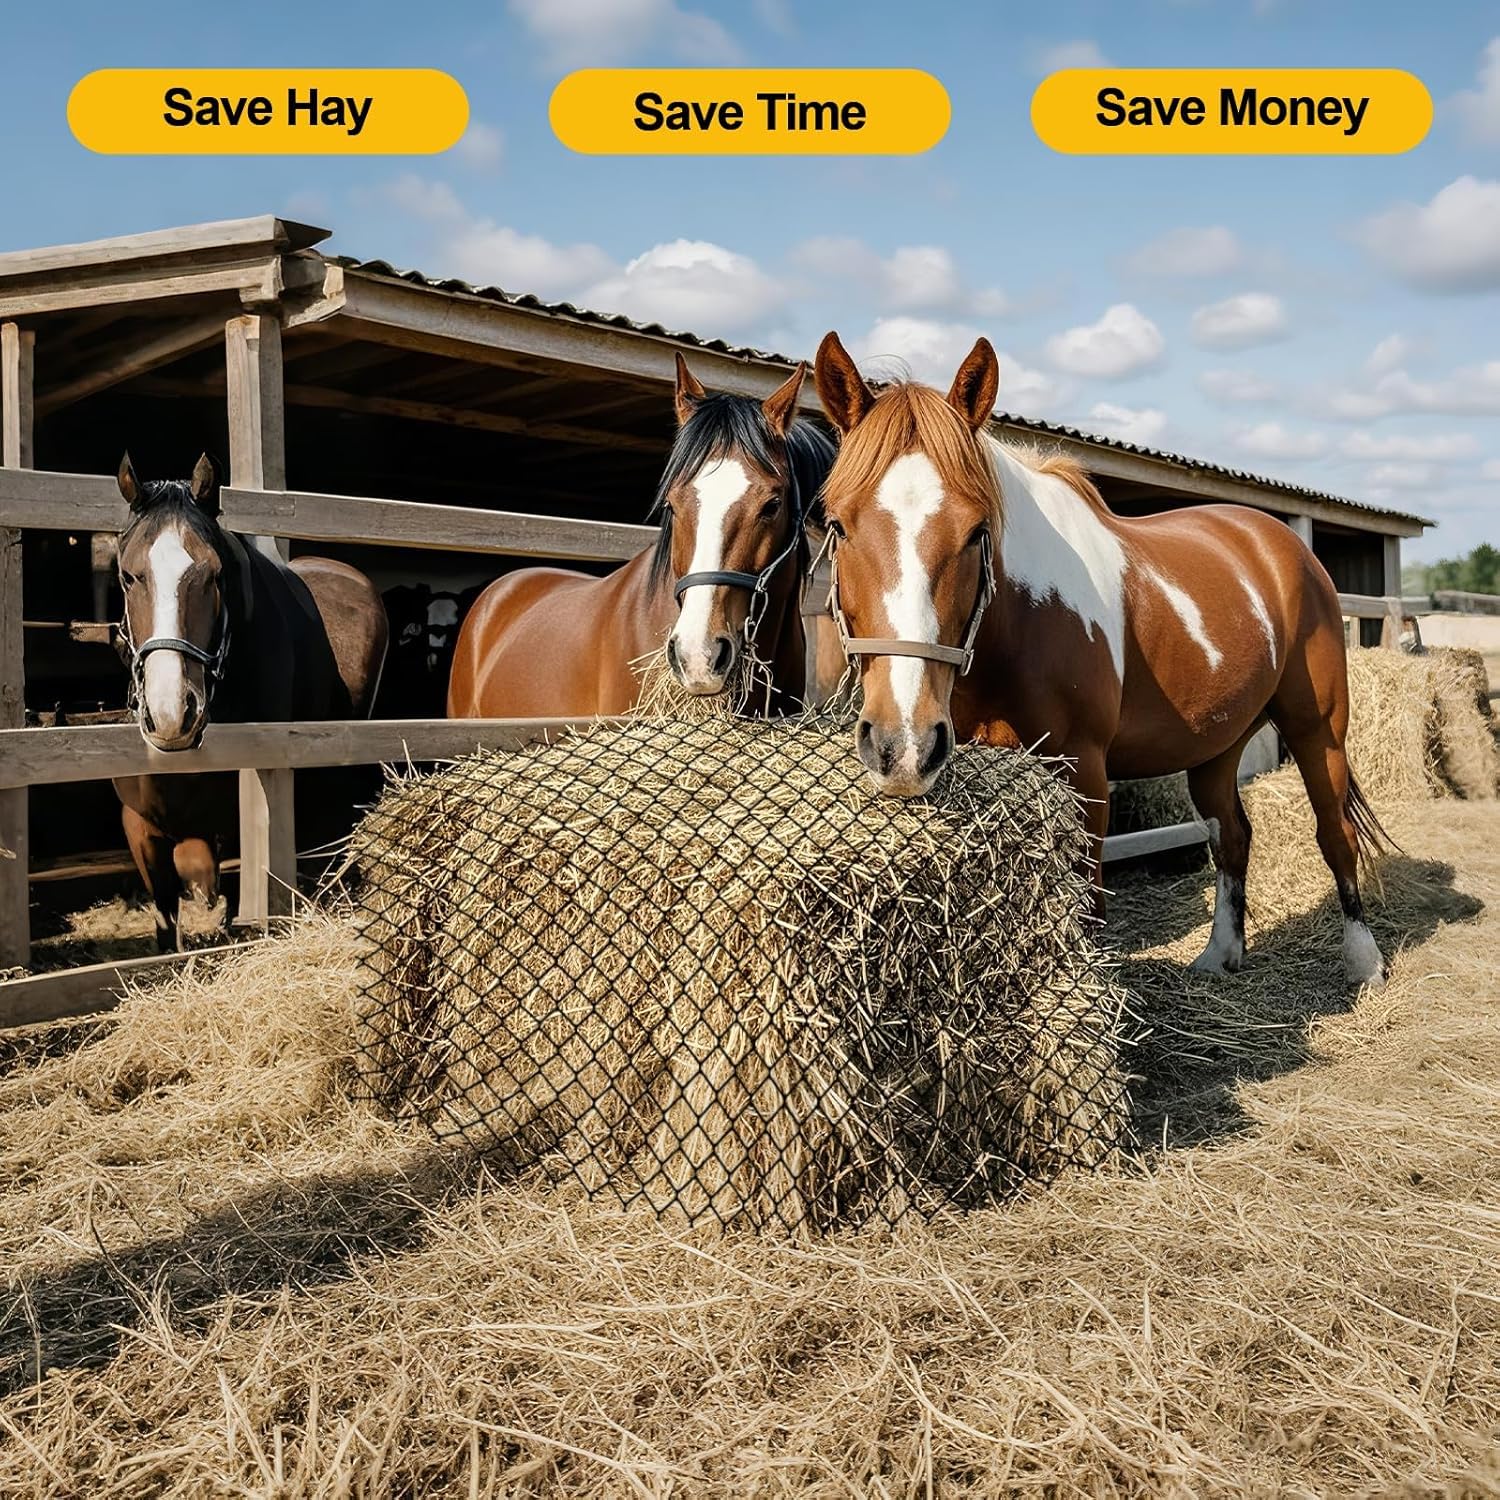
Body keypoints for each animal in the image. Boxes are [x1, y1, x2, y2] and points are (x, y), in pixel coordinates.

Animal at [812, 331, 1389, 989]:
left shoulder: (1085, 774)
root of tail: (1282, 544)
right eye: (837, 526)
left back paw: (1364, 961)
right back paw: (1220, 956)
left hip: (1318, 728)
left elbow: (1089, 910)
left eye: (977, 531)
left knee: (1335, 831)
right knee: (1232, 835)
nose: (900, 747)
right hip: (1216, 747)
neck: (1025, 619)